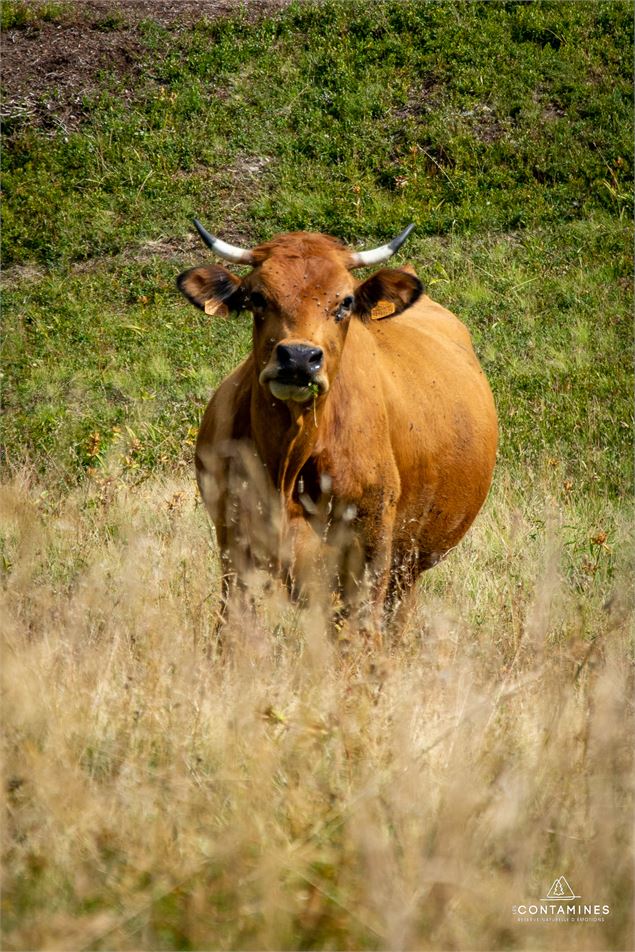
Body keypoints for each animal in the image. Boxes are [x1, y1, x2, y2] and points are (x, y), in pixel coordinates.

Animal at [177, 220, 497, 641]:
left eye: (344, 302)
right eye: (257, 297)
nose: (298, 358)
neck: (290, 462)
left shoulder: (369, 556)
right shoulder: (236, 549)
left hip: (408, 565)